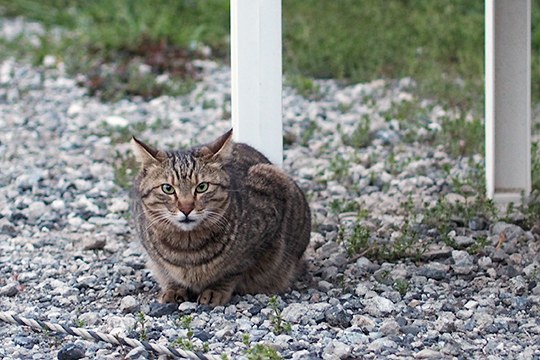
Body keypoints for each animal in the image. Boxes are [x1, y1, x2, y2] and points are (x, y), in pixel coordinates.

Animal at [128, 130, 310, 306]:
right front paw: (174, 288)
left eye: (202, 187)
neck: (187, 248)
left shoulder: (260, 241)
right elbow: (167, 272)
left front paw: (215, 290)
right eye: (167, 188)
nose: (186, 208)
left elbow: (232, 270)